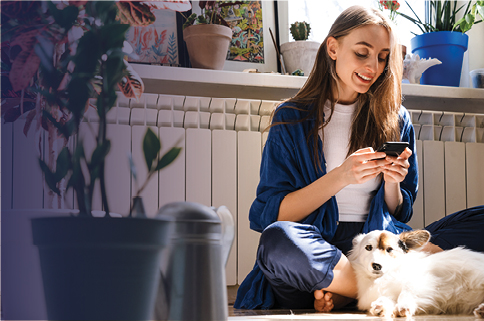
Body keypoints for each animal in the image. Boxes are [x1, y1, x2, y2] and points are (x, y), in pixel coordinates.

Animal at [348, 228, 484, 318]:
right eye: (368, 247)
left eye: (390, 249)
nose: (376, 265)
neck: (388, 274)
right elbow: (388, 298)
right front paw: (381, 306)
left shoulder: (421, 280)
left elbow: (406, 291)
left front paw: (403, 306)